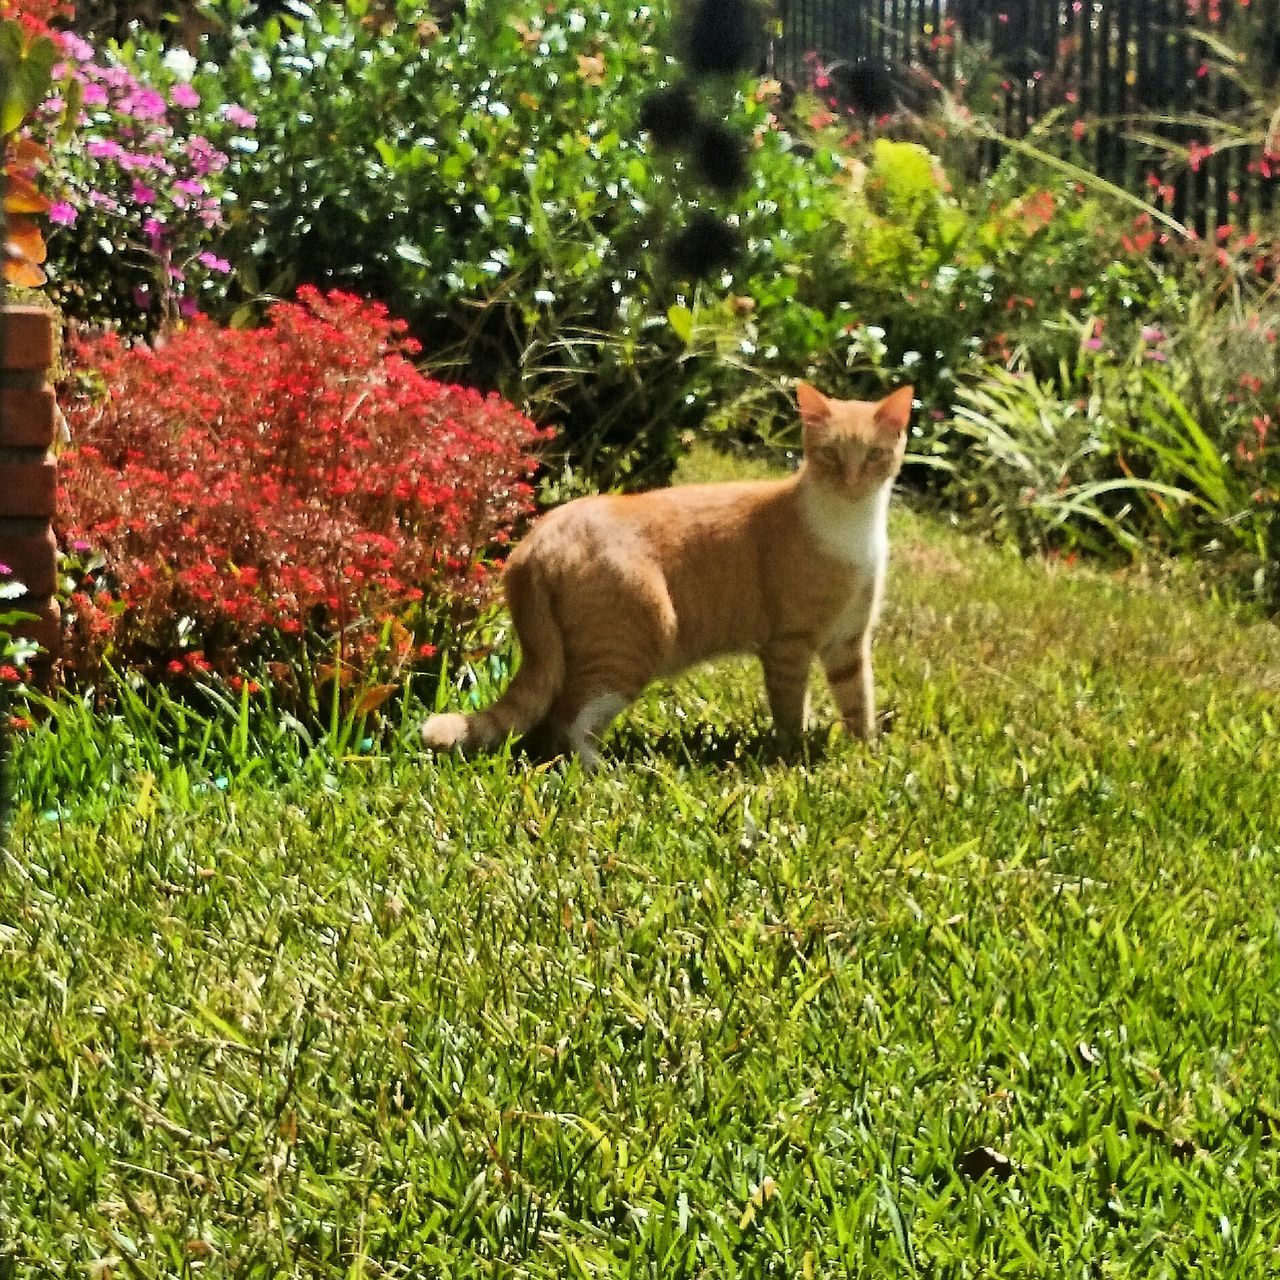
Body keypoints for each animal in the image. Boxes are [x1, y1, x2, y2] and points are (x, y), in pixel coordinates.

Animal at [424, 376, 916, 757]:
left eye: (873, 456)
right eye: (831, 455)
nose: (852, 481)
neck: (851, 526)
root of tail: (536, 539)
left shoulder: (848, 642)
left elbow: (858, 700)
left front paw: (865, 755)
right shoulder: (788, 645)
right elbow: (791, 708)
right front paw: (791, 755)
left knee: (550, 724)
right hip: (637, 640)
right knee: (568, 721)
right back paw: (604, 773)